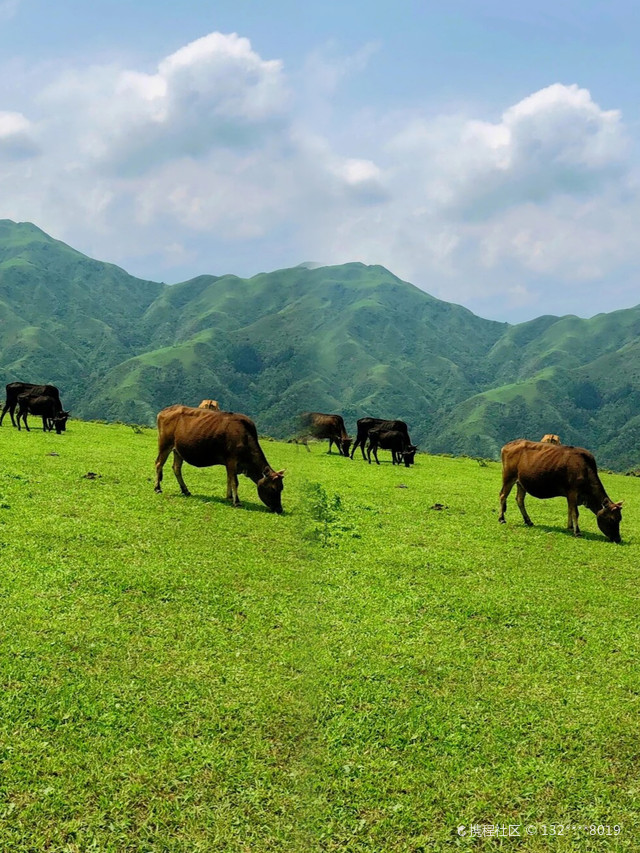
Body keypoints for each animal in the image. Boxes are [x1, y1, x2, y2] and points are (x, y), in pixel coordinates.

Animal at [154, 406, 284, 512]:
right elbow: (234, 481)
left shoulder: (229, 463)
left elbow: (229, 479)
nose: (279, 509)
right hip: (165, 445)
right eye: (273, 488)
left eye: (282, 488)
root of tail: (165, 410)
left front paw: (229, 497)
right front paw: (237, 502)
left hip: (178, 450)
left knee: (176, 468)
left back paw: (185, 490)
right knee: (159, 464)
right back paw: (157, 488)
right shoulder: (232, 460)